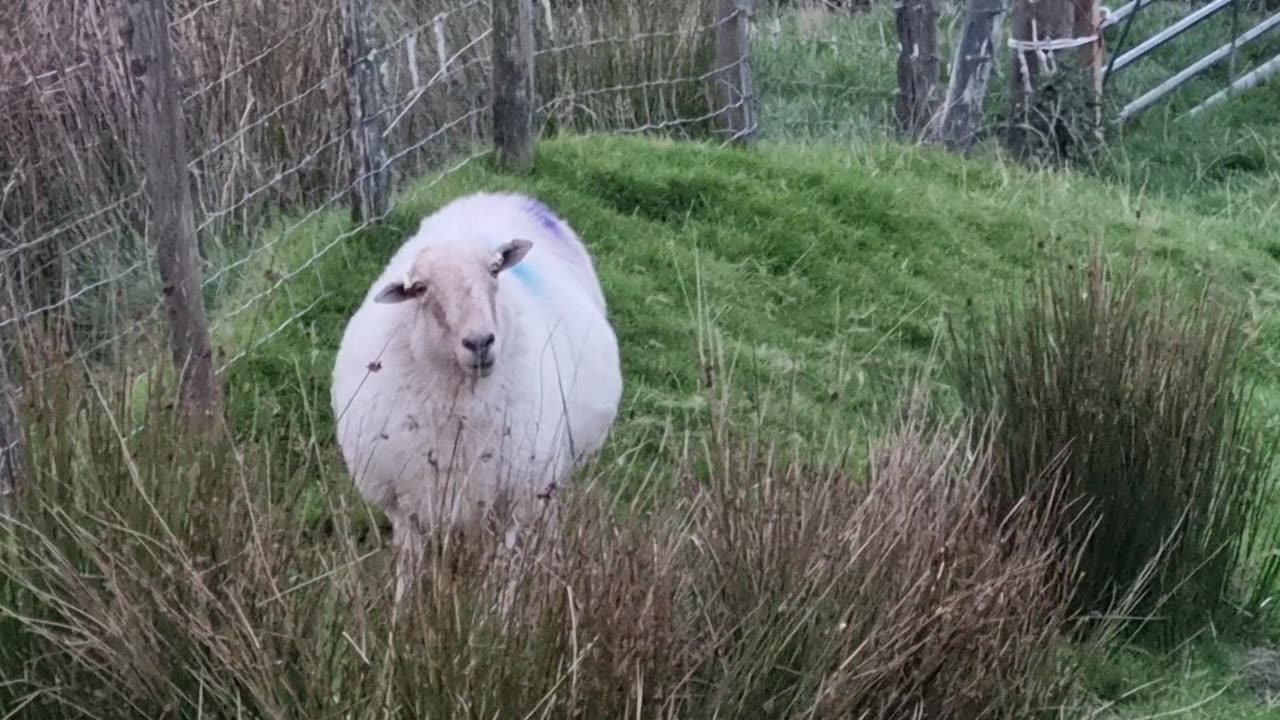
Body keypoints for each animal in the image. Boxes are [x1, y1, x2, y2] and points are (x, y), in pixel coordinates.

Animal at [330, 190, 624, 599]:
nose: (481, 342)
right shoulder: (403, 503)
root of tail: (503, 194)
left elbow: (504, 572)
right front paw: (402, 609)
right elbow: (408, 565)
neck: (458, 400)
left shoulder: (515, 497)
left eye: (495, 270)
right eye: (419, 289)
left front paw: (499, 610)